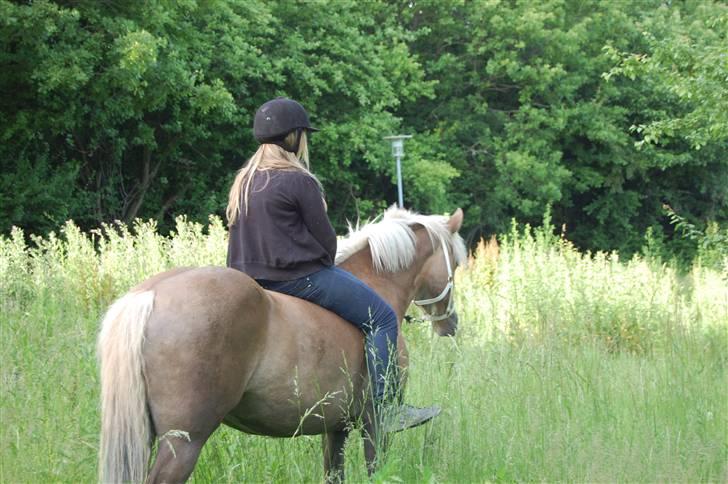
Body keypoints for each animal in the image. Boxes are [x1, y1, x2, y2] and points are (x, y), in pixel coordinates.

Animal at [96, 206, 466, 482]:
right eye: (456, 261)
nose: (451, 323)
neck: (376, 282)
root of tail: (150, 294)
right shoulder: (374, 424)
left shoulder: (335, 428)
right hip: (183, 443)